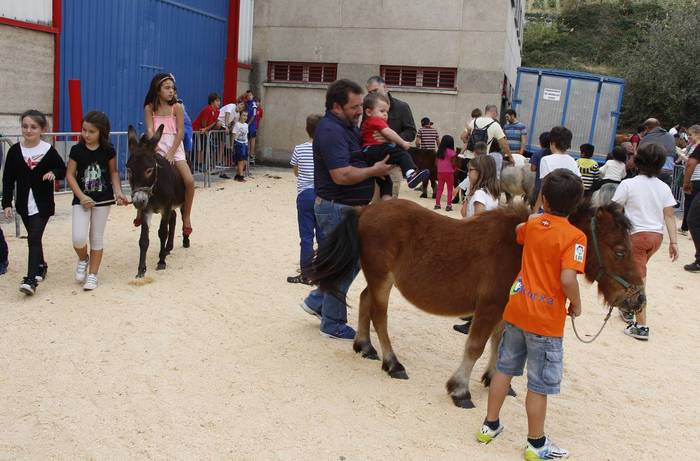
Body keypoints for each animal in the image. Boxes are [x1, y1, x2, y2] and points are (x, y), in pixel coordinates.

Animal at [308, 199, 648, 408]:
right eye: (619, 251)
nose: (638, 298)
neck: (524, 247)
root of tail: (365, 210)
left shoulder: (504, 309)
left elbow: (499, 344)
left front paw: (495, 379)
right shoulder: (488, 306)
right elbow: (475, 346)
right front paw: (460, 388)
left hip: (379, 280)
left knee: (365, 300)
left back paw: (364, 346)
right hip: (383, 280)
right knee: (379, 315)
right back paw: (392, 363)